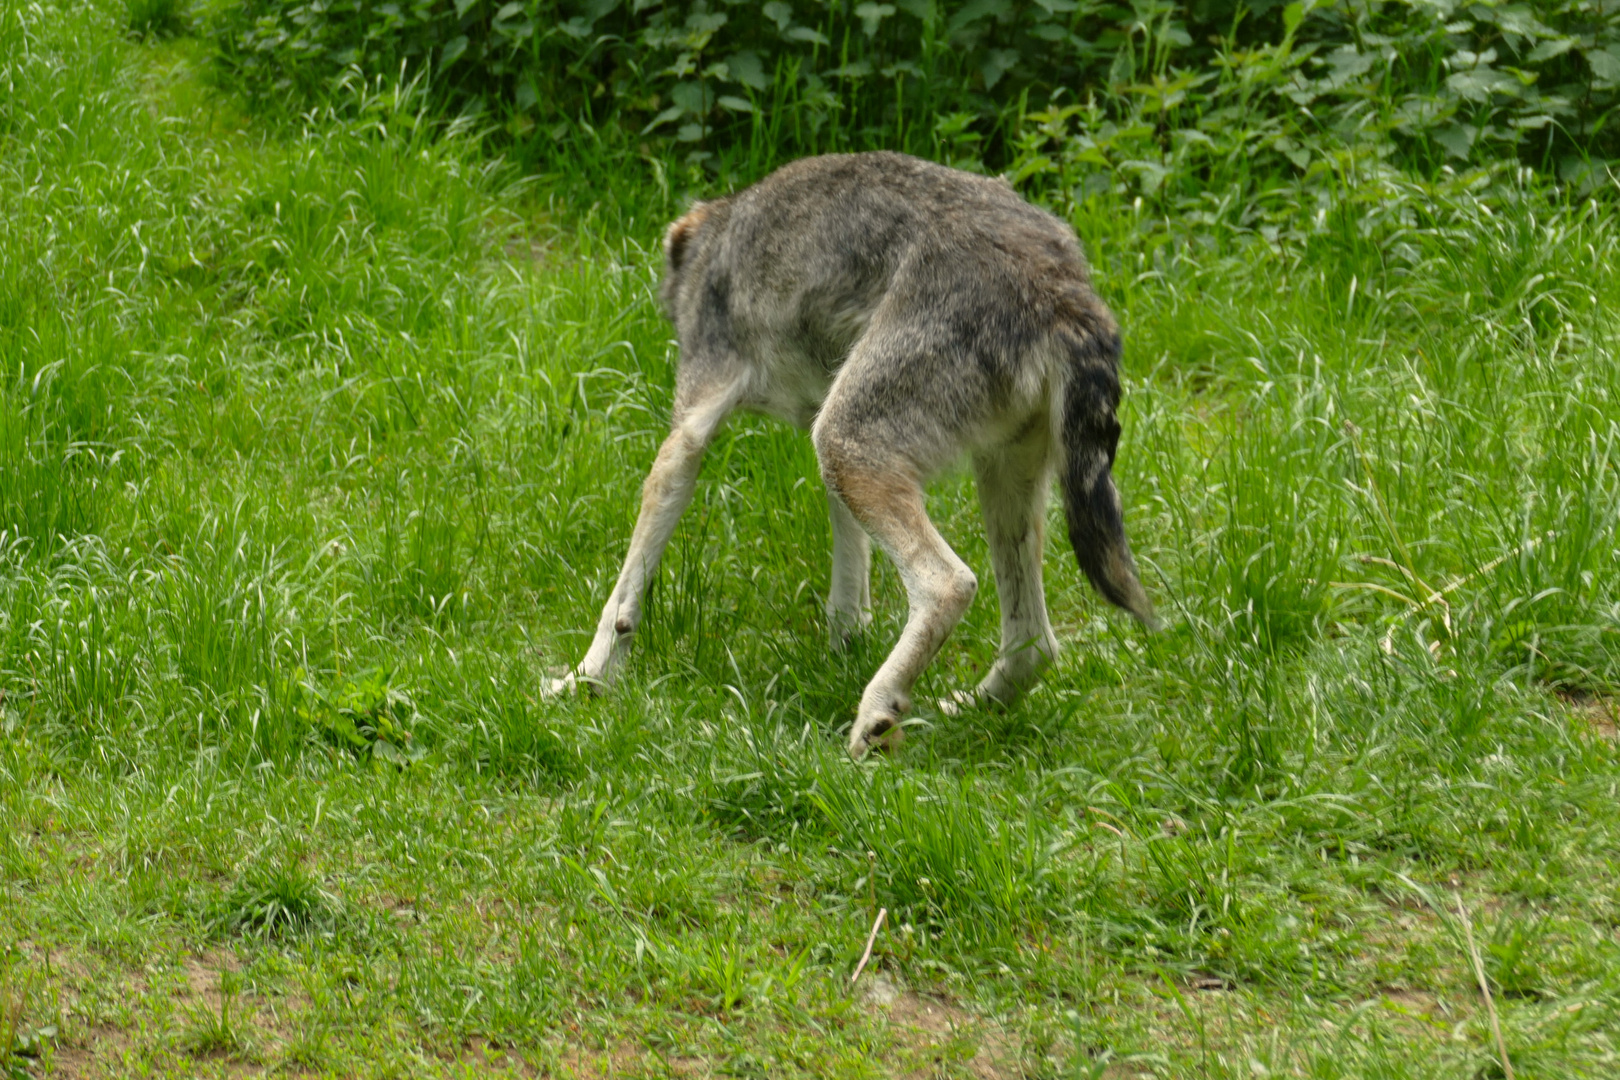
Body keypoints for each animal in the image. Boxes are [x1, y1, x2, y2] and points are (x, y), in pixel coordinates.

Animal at [550, 152, 1159, 761]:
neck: (719, 238)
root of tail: (1063, 290)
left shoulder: (689, 432)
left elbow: (623, 595)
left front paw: (585, 680)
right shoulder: (824, 435)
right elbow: (849, 565)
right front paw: (845, 638)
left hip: (848, 446)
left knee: (951, 584)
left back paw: (877, 715)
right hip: (989, 480)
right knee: (1035, 644)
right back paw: (961, 710)